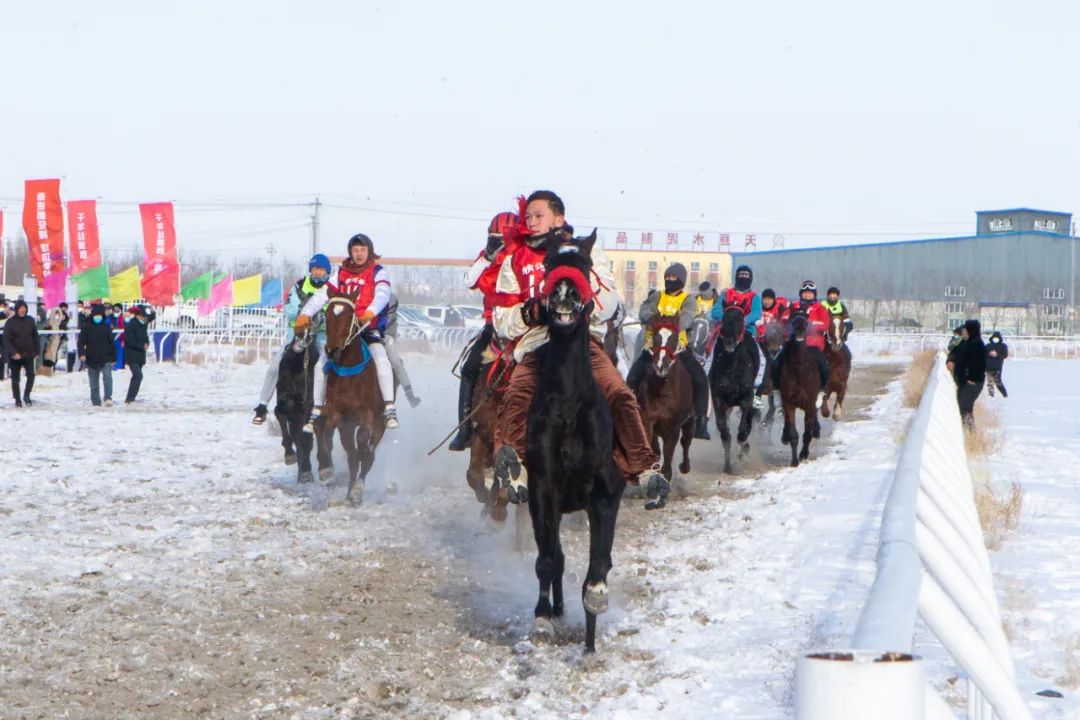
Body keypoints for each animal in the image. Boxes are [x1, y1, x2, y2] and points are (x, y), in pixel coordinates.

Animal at [273, 329, 318, 483]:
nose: (303, 337)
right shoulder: (284, 403)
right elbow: (280, 415)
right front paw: (289, 455)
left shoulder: (305, 409)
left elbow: (304, 441)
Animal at [314, 289, 390, 504]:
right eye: (327, 315)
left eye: (349, 316)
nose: (332, 351)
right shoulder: (335, 410)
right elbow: (320, 425)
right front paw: (325, 469)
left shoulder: (367, 412)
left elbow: (364, 440)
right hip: (346, 427)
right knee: (352, 458)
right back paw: (349, 491)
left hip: (380, 423)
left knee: (366, 453)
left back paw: (356, 490)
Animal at [634, 318, 694, 487]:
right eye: (655, 337)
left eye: (674, 338)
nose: (661, 366)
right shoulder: (648, 420)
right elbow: (652, 446)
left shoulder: (673, 426)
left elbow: (669, 452)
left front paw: (664, 475)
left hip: (690, 421)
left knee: (686, 441)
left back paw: (684, 467)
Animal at [708, 306, 761, 475]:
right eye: (724, 318)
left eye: (739, 319)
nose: (730, 342)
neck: (732, 367)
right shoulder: (718, 399)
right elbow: (724, 431)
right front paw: (728, 466)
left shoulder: (747, 397)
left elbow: (742, 429)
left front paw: (743, 450)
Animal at [777, 314, 822, 467]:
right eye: (792, 321)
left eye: (805, 321)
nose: (800, 331)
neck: (799, 370)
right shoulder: (789, 403)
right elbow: (793, 434)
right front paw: (794, 460)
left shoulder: (810, 404)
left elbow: (807, 434)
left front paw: (803, 455)